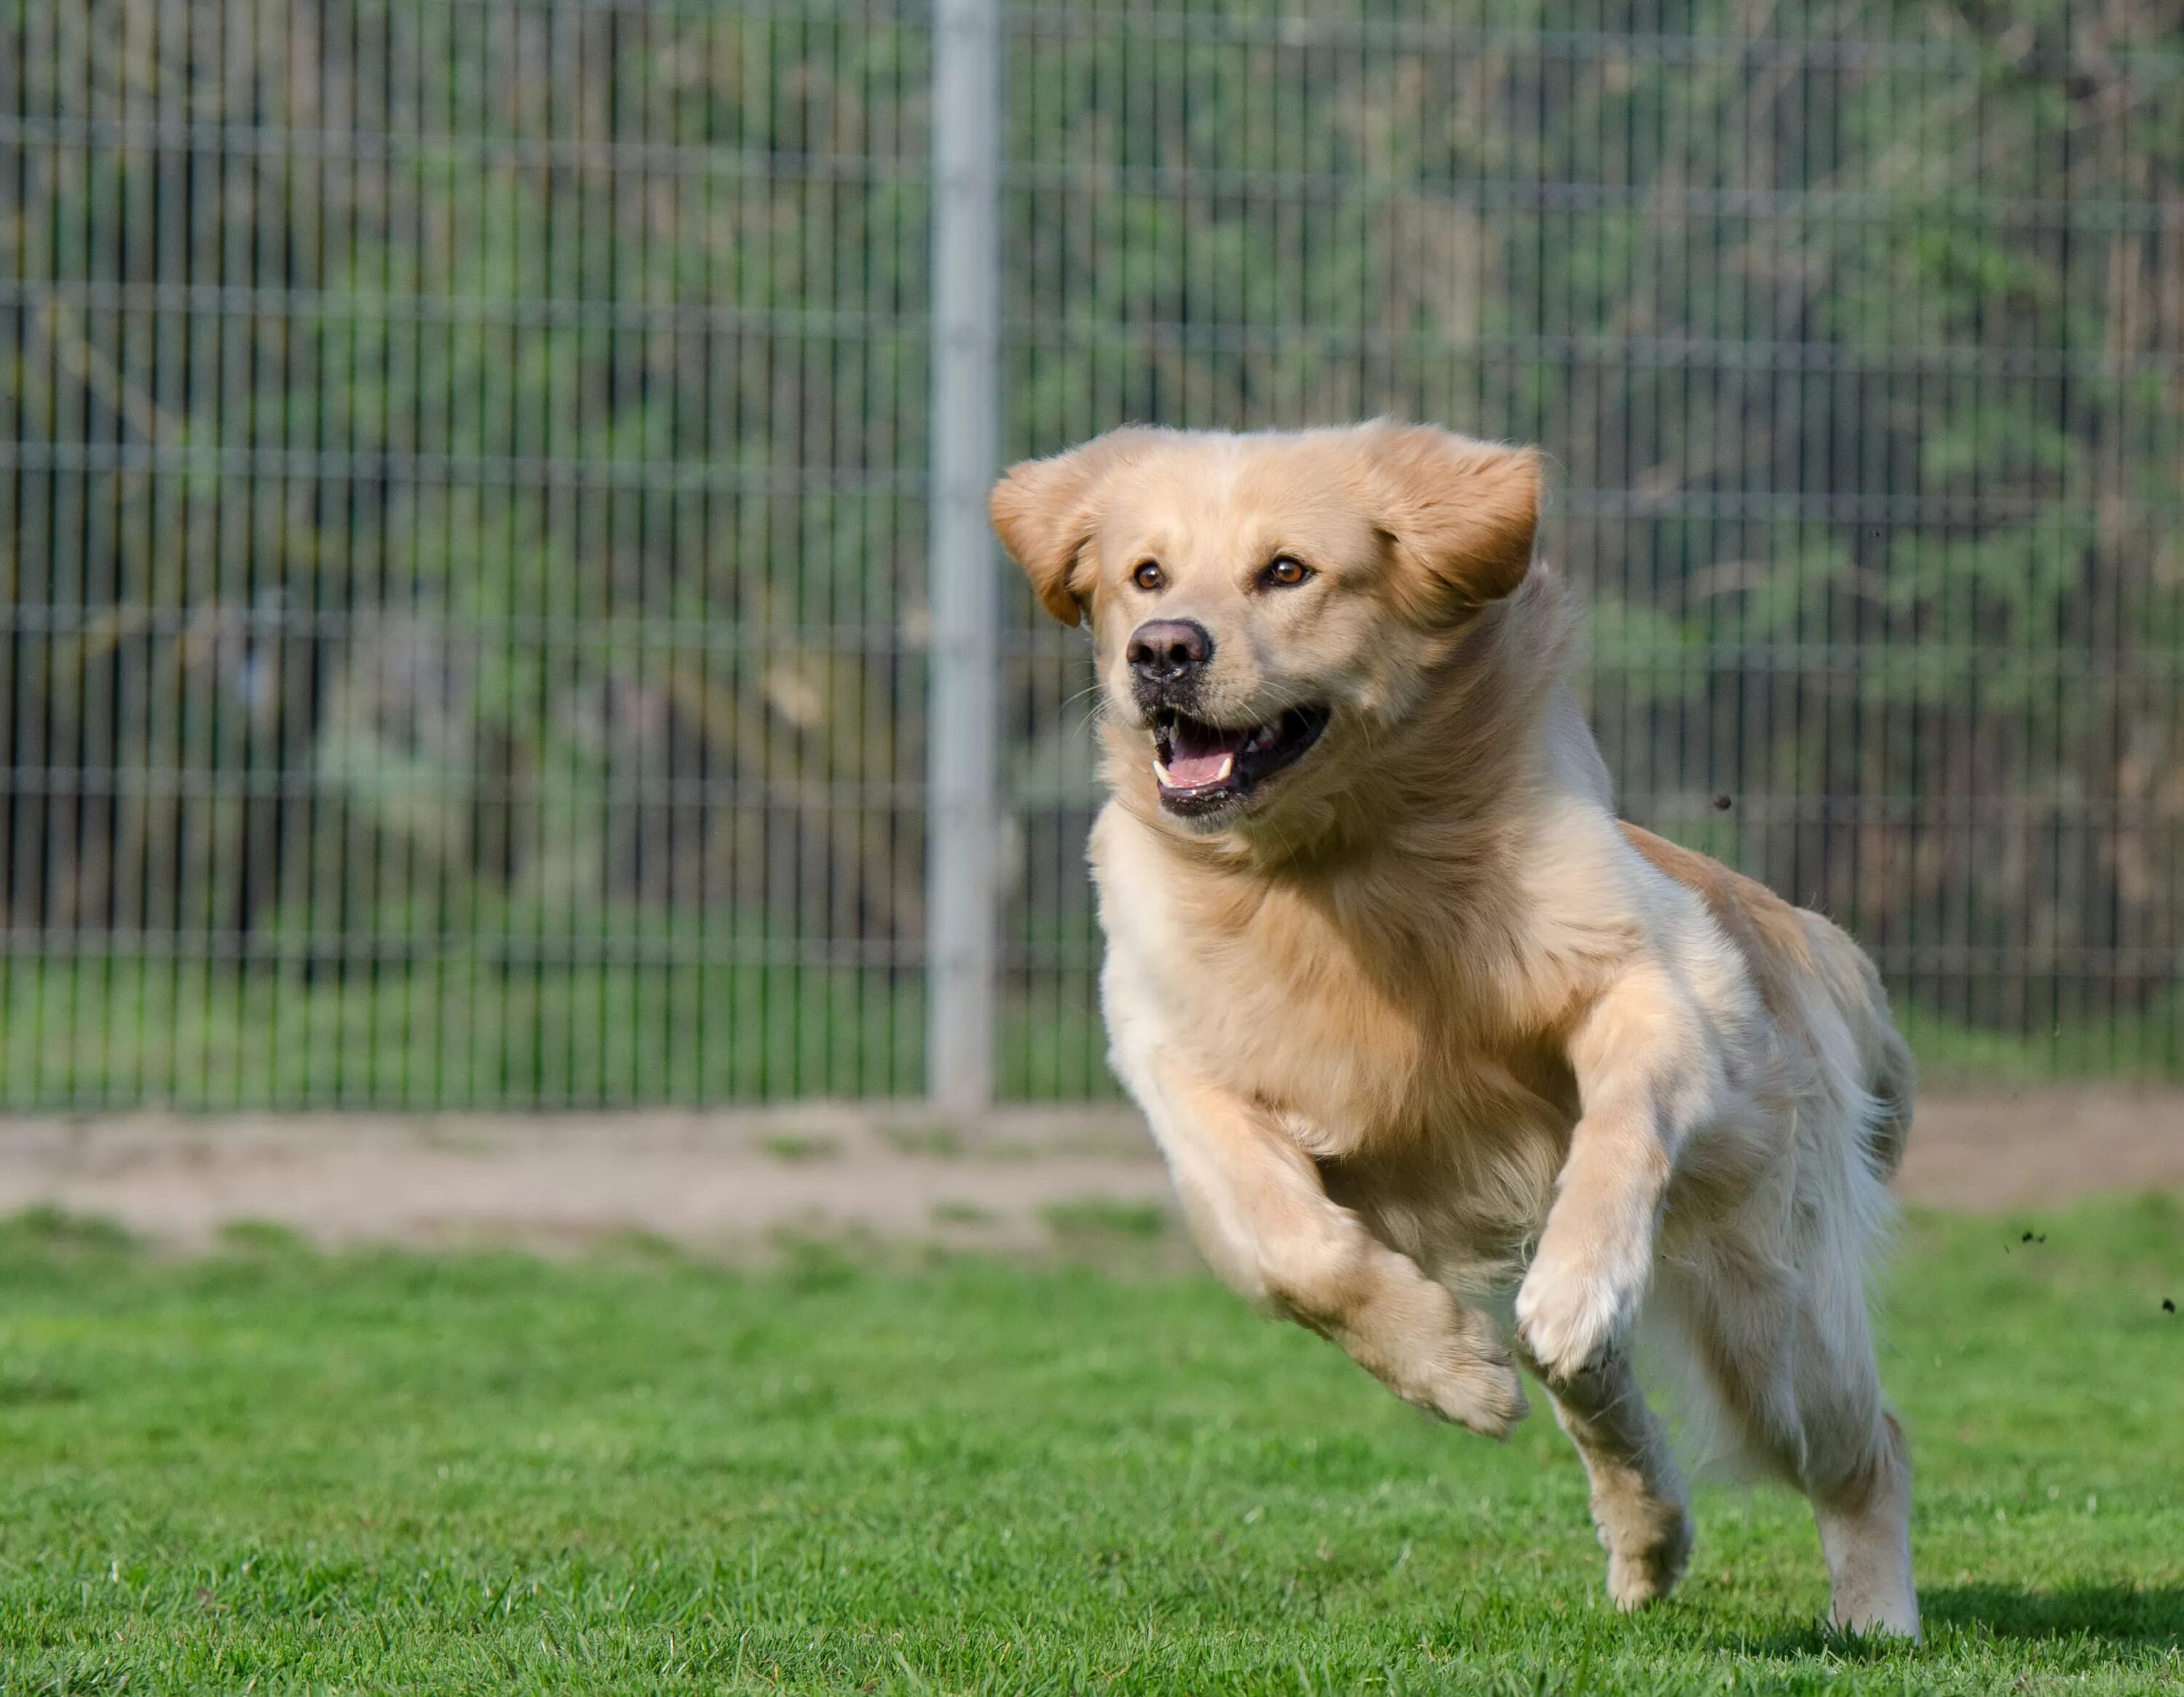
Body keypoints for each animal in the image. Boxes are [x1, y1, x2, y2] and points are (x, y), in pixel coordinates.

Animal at [1000, 419, 1922, 1625]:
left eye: (1286, 570)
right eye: (1145, 575)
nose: (1160, 651)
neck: (1331, 864)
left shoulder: (1660, 977)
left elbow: (1621, 1122)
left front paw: (1579, 1280)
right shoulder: (1175, 1064)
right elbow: (1291, 1248)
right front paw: (1456, 1371)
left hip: (1771, 1310)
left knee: (1866, 1442)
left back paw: (1874, 1613)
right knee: (1598, 1391)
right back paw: (1645, 1540)